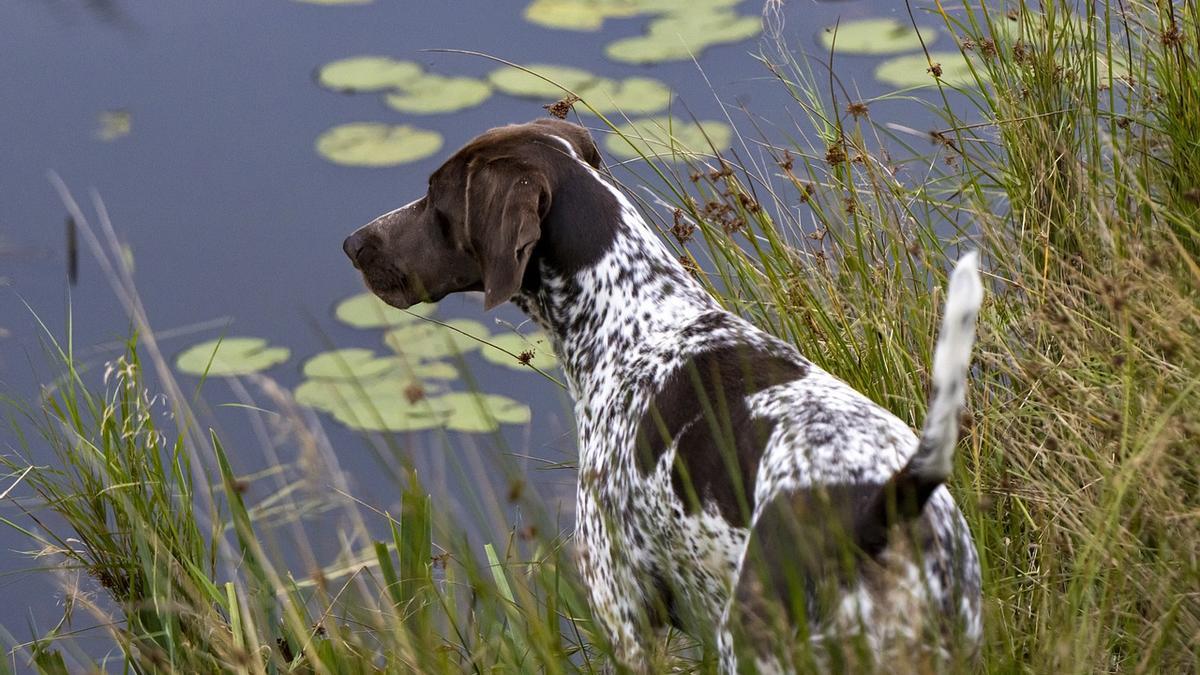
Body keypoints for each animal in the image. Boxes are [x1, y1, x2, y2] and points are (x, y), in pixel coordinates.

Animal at [343, 118, 979, 667]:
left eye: (436, 197)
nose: (353, 244)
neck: (635, 316)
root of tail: (884, 504)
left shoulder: (627, 619)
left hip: (748, 641)